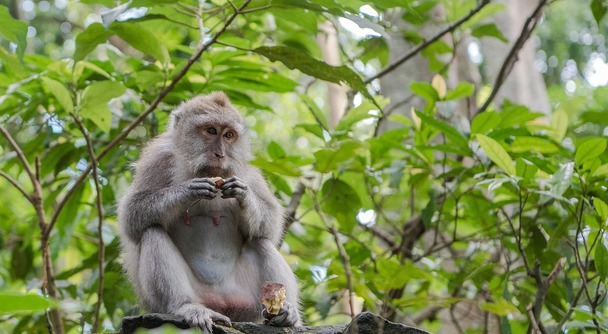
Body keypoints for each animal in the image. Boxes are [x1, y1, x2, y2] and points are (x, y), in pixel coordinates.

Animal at [115, 91, 300, 332]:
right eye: (211, 130)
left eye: (229, 135)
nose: (220, 154)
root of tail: (220, 303)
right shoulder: (157, 159)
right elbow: (132, 215)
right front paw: (188, 190)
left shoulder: (247, 169)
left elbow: (271, 224)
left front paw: (243, 195)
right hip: (184, 298)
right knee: (152, 231)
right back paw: (185, 306)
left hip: (245, 302)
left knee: (260, 242)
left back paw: (287, 312)